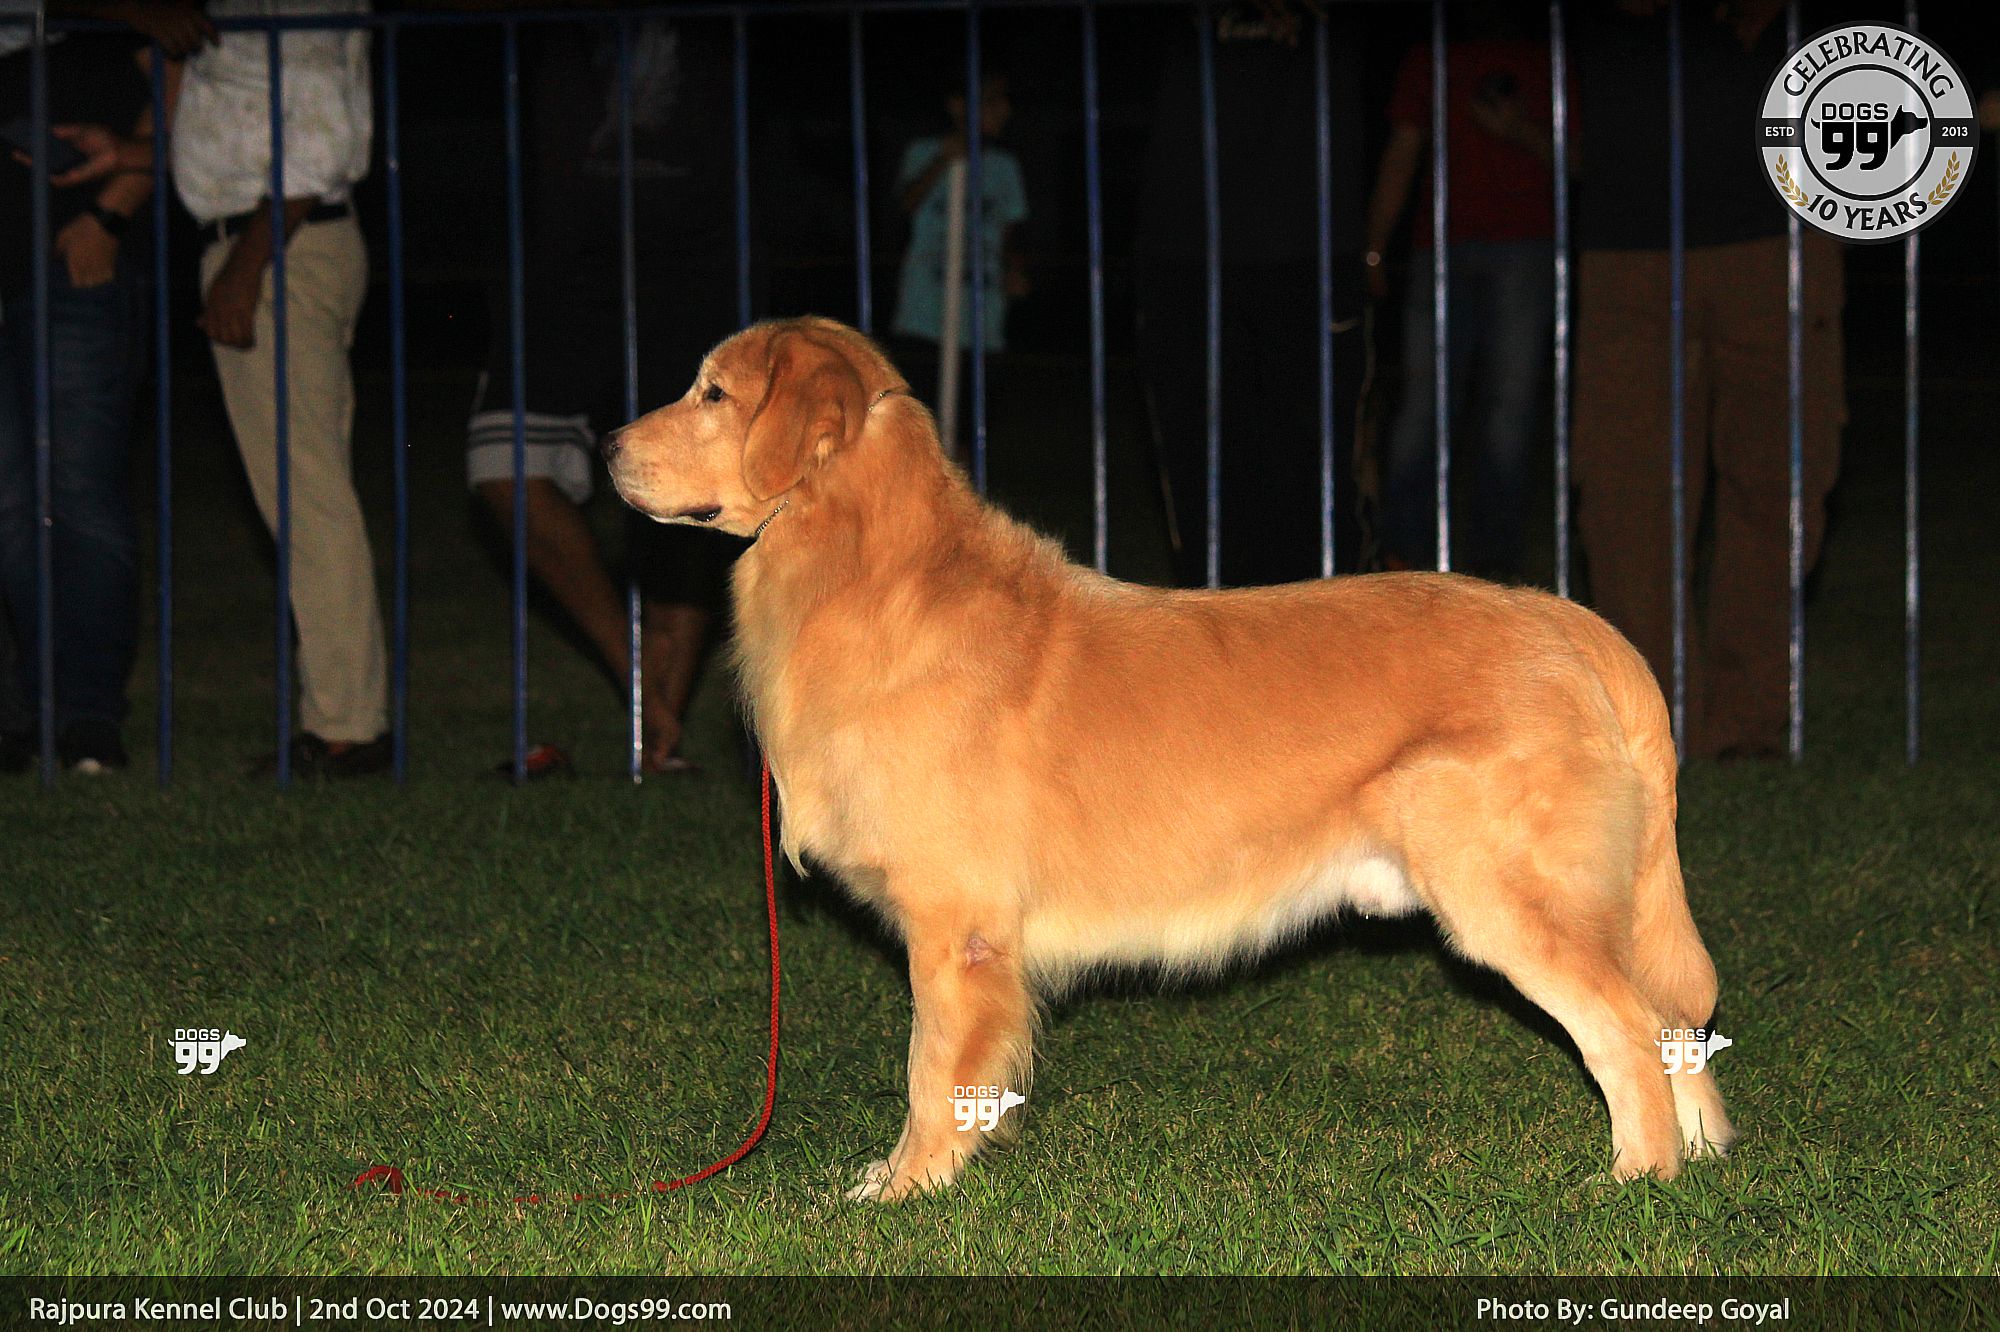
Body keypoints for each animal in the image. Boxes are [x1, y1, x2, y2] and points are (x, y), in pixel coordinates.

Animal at [604, 316, 1735, 1201]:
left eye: (711, 392)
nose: (605, 446)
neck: (864, 572)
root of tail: (1573, 626)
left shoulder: (956, 929)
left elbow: (933, 1071)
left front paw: (907, 1189)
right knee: (1672, 1025)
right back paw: (1701, 1159)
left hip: (1504, 894)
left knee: (1625, 1029)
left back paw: (1634, 1182)